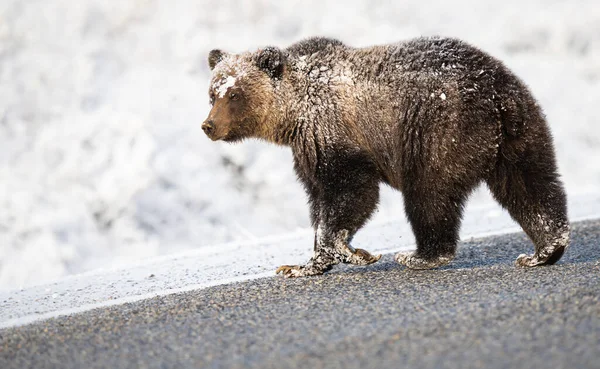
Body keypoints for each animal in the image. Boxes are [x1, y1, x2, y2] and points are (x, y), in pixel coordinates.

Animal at [204, 36, 568, 276]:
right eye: (212, 93)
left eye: (234, 94)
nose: (209, 125)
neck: (293, 116)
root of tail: (495, 93)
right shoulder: (308, 150)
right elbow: (320, 201)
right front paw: (303, 264)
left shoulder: (335, 136)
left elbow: (351, 194)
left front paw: (350, 252)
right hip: (520, 131)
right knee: (531, 186)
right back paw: (545, 250)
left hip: (436, 130)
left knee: (429, 194)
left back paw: (421, 255)